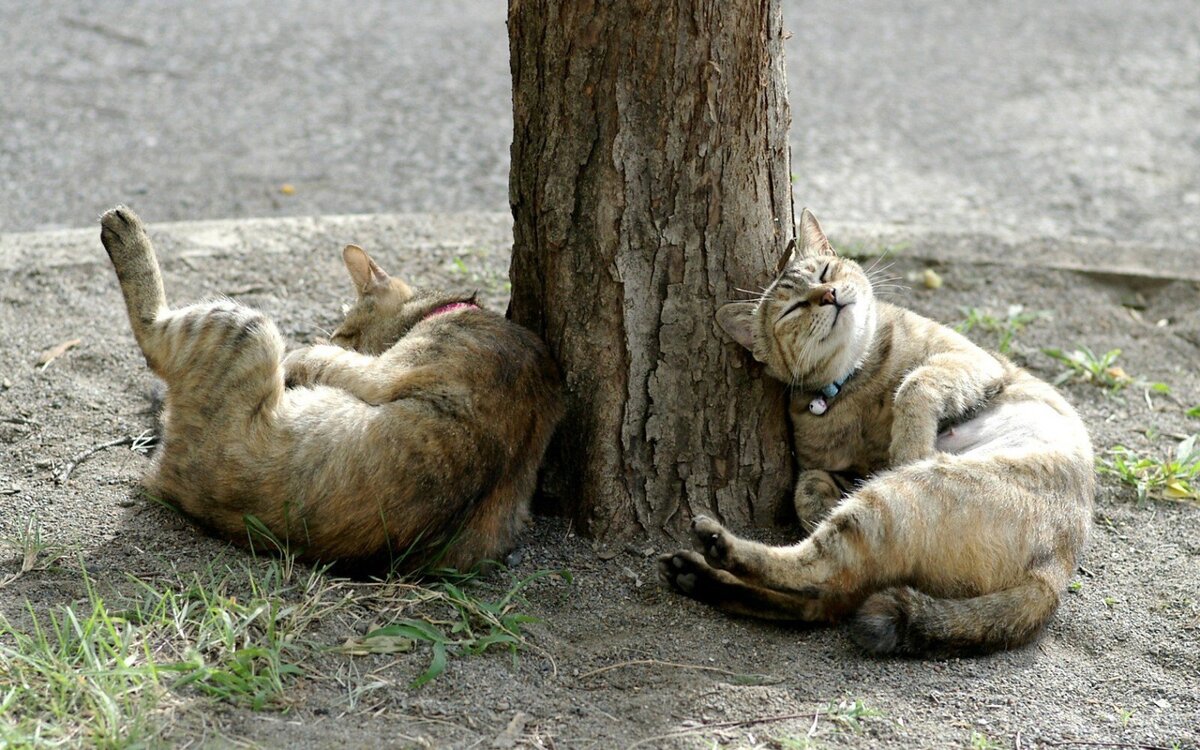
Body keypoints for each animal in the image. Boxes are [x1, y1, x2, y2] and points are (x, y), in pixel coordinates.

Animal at [99, 205, 561, 573]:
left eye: (344, 332)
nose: (336, 336)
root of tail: (171, 480)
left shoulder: (381, 371)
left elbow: (319, 357)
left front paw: (301, 358)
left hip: (247, 325)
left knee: (152, 337)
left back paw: (123, 229)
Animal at [662, 207, 1094, 652]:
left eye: (825, 272)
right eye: (792, 309)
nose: (829, 295)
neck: (857, 378)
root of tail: (1053, 575)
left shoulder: (969, 360)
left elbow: (915, 385)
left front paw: (909, 445)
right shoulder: (841, 470)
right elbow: (808, 488)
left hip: (894, 499)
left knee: (824, 583)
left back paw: (712, 556)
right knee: (822, 587)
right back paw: (703, 567)